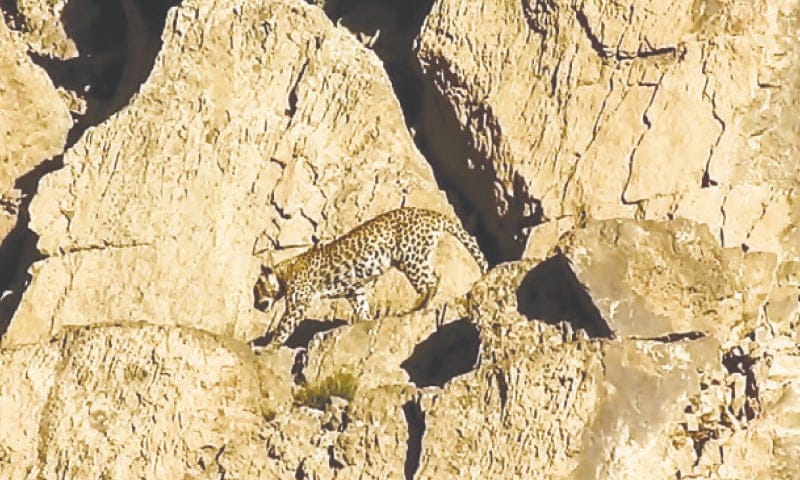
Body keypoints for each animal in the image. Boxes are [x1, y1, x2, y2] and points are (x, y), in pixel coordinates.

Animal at [254, 207, 488, 344]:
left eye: (257, 290)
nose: (256, 306)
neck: (284, 271)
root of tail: (432, 214)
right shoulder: (354, 290)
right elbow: (362, 308)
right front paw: (364, 322)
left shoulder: (299, 303)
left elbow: (284, 327)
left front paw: (269, 347)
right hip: (417, 256)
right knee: (434, 276)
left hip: (410, 257)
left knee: (430, 281)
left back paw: (416, 306)